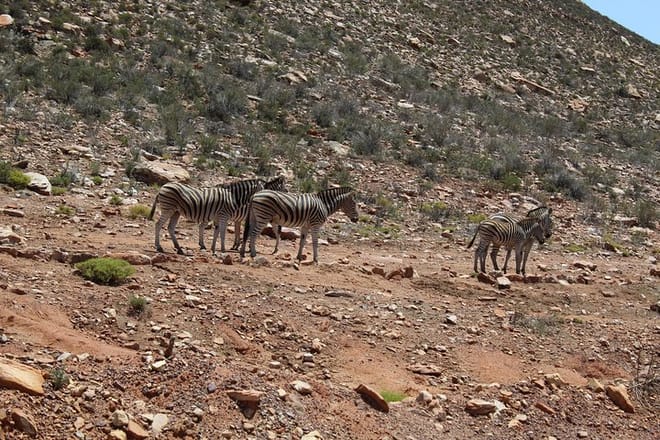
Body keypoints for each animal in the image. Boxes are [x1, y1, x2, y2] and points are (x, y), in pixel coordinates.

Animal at [148, 176, 286, 255]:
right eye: (283, 187)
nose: (265, 198)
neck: (233, 197)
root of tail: (163, 187)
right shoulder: (225, 216)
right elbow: (223, 233)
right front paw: (225, 249)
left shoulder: (219, 217)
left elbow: (217, 232)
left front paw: (214, 249)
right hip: (168, 208)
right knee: (158, 225)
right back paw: (159, 247)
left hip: (176, 211)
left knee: (171, 228)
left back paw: (180, 249)